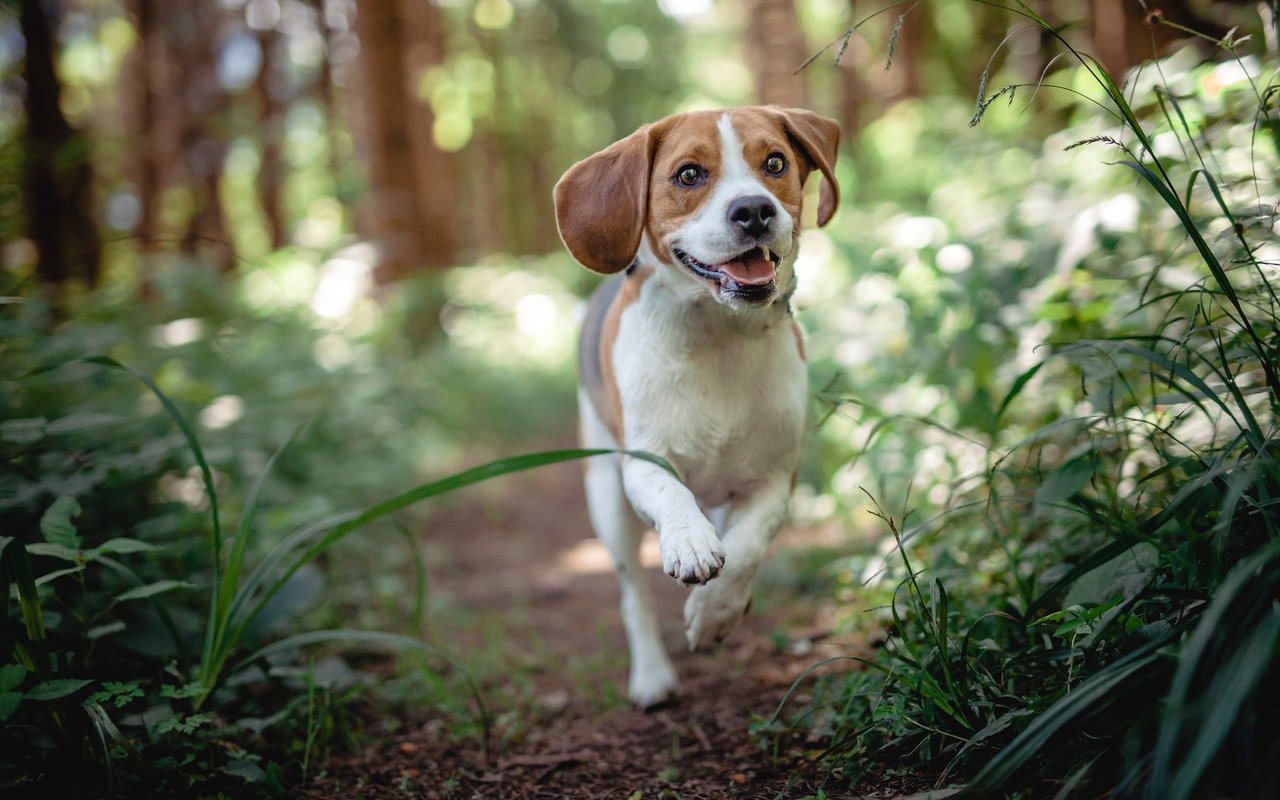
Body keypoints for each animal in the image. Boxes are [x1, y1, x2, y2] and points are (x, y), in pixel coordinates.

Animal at [550, 104, 839, 706]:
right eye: (688, 174)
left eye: (775, 163)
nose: (753, 209)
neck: (717, 335)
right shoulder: (642, 465)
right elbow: (672, 494)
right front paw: (688, 541)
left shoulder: (774, 479)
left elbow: (747, 549)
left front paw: (714, 614)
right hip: (606, 496)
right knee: (632, 592)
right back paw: (652, 676)